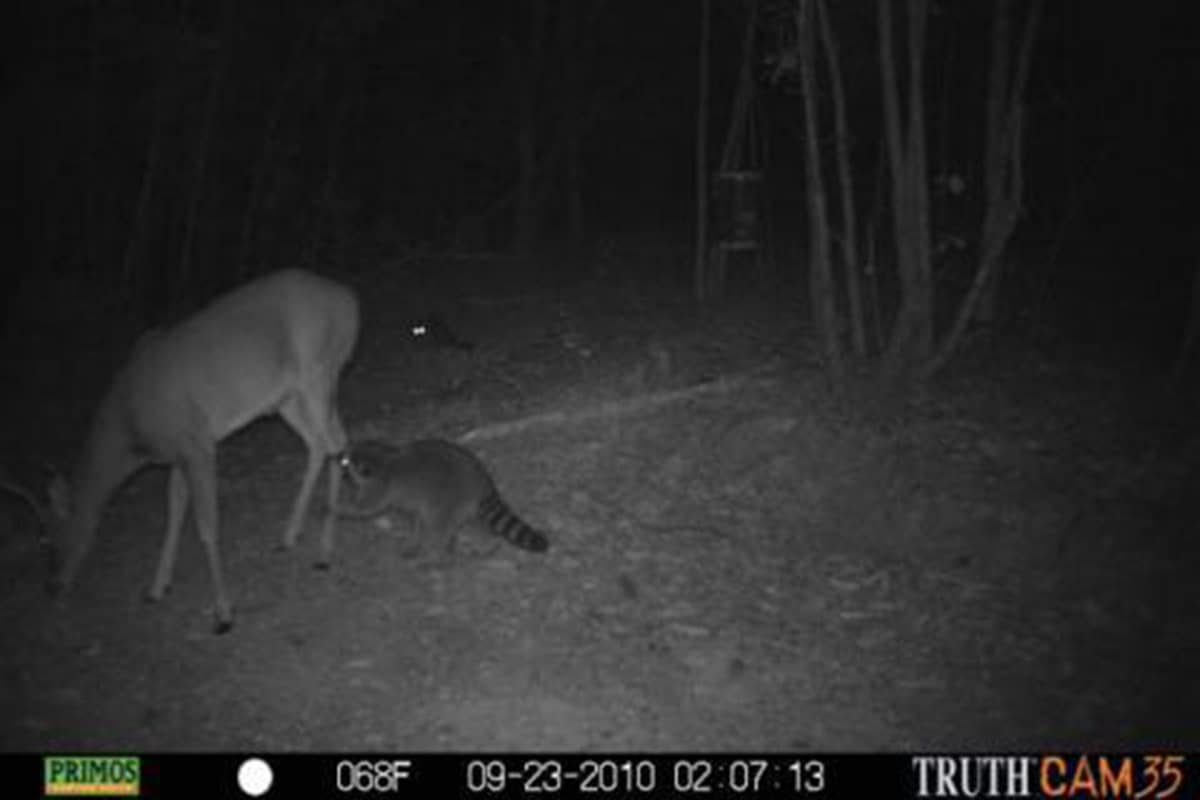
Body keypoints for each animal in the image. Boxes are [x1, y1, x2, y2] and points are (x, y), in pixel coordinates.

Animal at [44, 268, 360, 633]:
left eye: (50, 542)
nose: (53, 586)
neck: (131, 433)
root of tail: (350, 300)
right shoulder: (175, 454)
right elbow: (174, 512)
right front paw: (156, 588)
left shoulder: (197, 443)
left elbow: (207, 526)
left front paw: (224, 613)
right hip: (287, 397)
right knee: (325, 441)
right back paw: (292, 534)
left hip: (317, 372)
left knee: (332, 442)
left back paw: (324, 551)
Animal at [336, 438, 547, 556]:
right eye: (346, 455)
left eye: (347, 461)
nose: (337, 456)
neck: (384, 457)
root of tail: (481, 477)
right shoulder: (406, 500)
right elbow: (414, 519)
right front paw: (413, 541)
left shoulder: (381, 487)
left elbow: (364, 508)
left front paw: (341, 507)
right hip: (465, 502)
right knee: (470, 521)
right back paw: (482, 541)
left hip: (450, 496)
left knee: (439, 525)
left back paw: (438, 553)